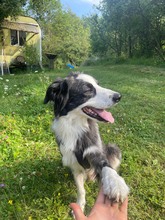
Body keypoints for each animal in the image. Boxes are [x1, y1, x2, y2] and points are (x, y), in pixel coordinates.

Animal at [43, 72, 129, 210]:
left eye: (98, 85)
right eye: (88, 90)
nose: (118, 96)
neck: (76, 126)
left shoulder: (94, 151)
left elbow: (106, 165)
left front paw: (115, 182)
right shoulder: (73, 163)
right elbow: (80, 189)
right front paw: (80, 205)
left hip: (112, 148)